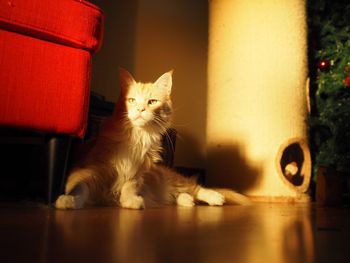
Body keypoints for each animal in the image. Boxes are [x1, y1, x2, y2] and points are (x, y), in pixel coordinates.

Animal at [56, 68, 250, 210]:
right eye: (132, 100)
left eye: (152, 102)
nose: (141, 109)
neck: (137, 138)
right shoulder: (90, 169)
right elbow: (80, 186)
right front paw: (69, 200)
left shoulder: (138, 173)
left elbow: (129, 186)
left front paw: (129, 201)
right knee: (185, 194)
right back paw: (187, 201)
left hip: (174, 181)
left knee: (196, 188)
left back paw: (215, 197)